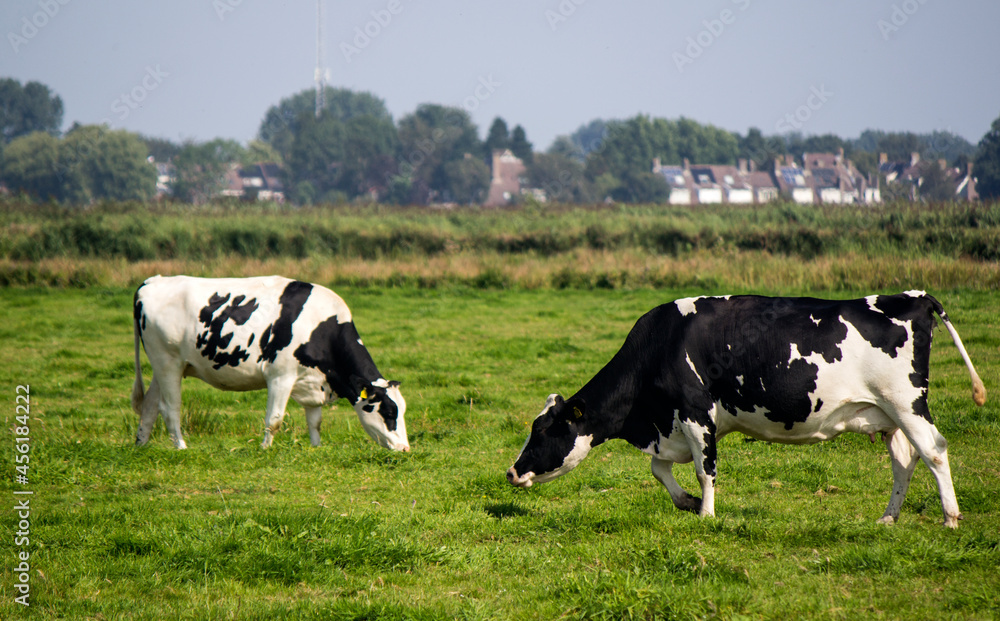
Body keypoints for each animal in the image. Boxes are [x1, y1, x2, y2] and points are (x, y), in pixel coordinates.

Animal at [131, 276, 408, 450]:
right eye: (389, 412)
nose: (405, 448)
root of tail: (152, 281)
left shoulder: (312, 380)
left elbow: (315, 421)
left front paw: (316, 448)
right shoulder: (280, 376)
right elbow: (274, 419)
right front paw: (265, 449)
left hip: (162, 366)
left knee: (150, 406)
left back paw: (140, 446)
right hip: (168, 362)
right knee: (170, 408)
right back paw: (181, 447)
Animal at [508, 294, 984, 524]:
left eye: (543, 432)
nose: (511, 472)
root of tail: (911, 295)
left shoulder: (697, 413)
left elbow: (706, 470)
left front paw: (706, 514)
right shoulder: (672, 428)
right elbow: (660, 470)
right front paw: (685, 502)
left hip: (907, 403)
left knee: (934, 450)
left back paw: (950, 518)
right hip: (885, 415)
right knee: (904, 461)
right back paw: (887, 518)